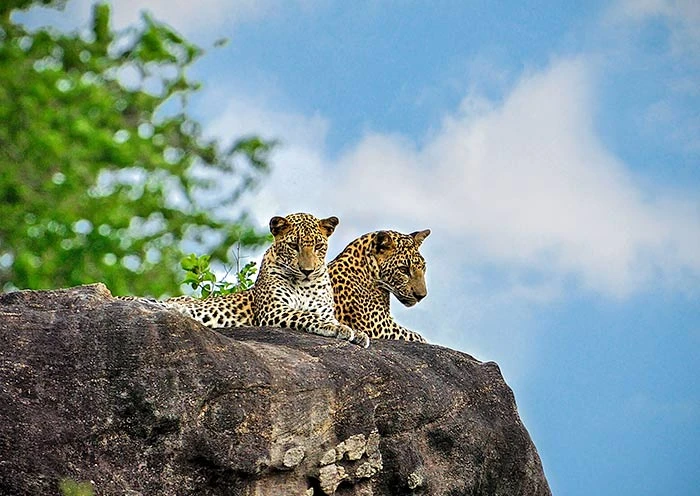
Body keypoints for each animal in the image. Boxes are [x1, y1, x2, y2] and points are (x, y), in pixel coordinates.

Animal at [121, 213, 370, 348]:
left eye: (318, 246)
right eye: (293, 246)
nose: (307, 270)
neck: (304, 284)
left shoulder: (323, 309)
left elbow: (322, 315)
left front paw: (356, 332)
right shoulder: (273, 310)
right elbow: (307, 315)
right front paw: (339, 329)